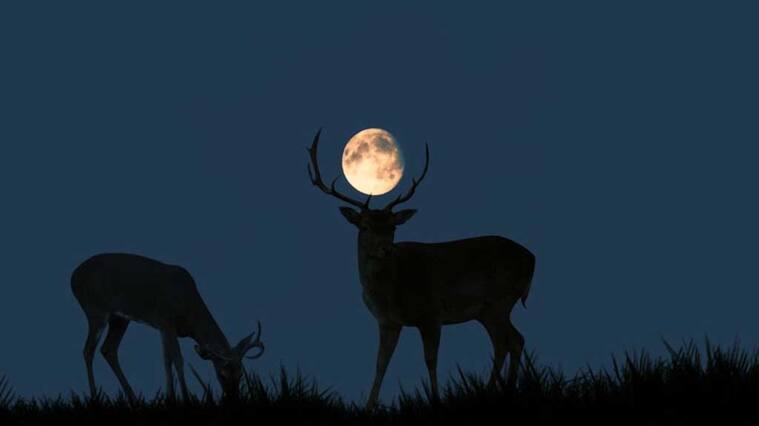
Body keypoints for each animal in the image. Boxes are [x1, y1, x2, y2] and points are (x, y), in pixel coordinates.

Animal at [70, 253, 264, 403]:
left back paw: (133, 398)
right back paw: (95, 396)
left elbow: (166, 359)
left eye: (240, 374)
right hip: (96, 310)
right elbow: (177, 359)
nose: (233, 398)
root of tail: (73, 277)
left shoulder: (163, 327)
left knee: (108, 349)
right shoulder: (165, 319)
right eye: (222, 374)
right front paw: (184, 397)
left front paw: (170, 396)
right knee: (88, 350)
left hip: (119, 318)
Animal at [307, 129, 536, 409]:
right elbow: (381, 363)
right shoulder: (388, 322)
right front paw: (369, 406)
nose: (386, 250)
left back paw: (498, 390)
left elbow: (430, 360)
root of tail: (532, 259)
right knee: (508, 342)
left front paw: (435, 399)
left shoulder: (431, 313)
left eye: (393, 227)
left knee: (510, 341)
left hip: (500, 300)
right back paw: (500, 389)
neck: (390, 291)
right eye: (364, 226)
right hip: (487, 310)